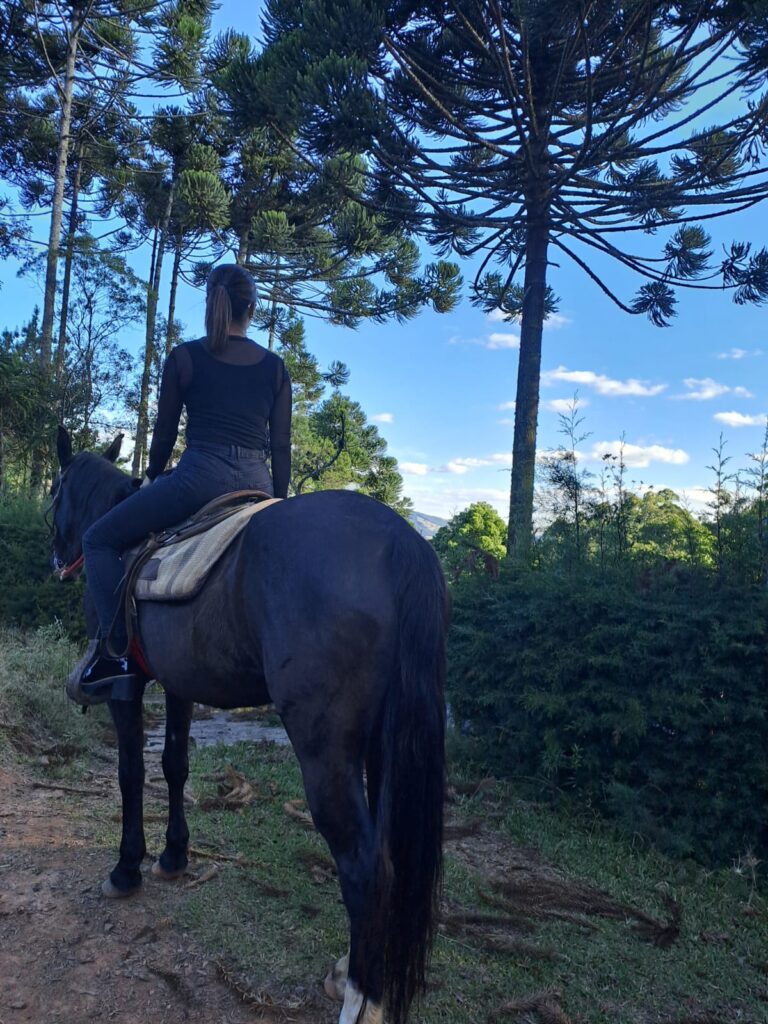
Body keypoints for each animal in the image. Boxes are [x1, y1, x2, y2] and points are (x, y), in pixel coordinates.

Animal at [49, 427, 447, 1024]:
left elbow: (130, 773)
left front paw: (127, 868)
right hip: (386, 744)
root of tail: (402, 541)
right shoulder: (179, 684)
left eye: (55, 489)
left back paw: (361, 999)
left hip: (326, 752)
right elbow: (174, 766)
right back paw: (349, 972)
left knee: (364, 866)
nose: (57, 554)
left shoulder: (128, 687)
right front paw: (173, 856)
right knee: (388, 856)